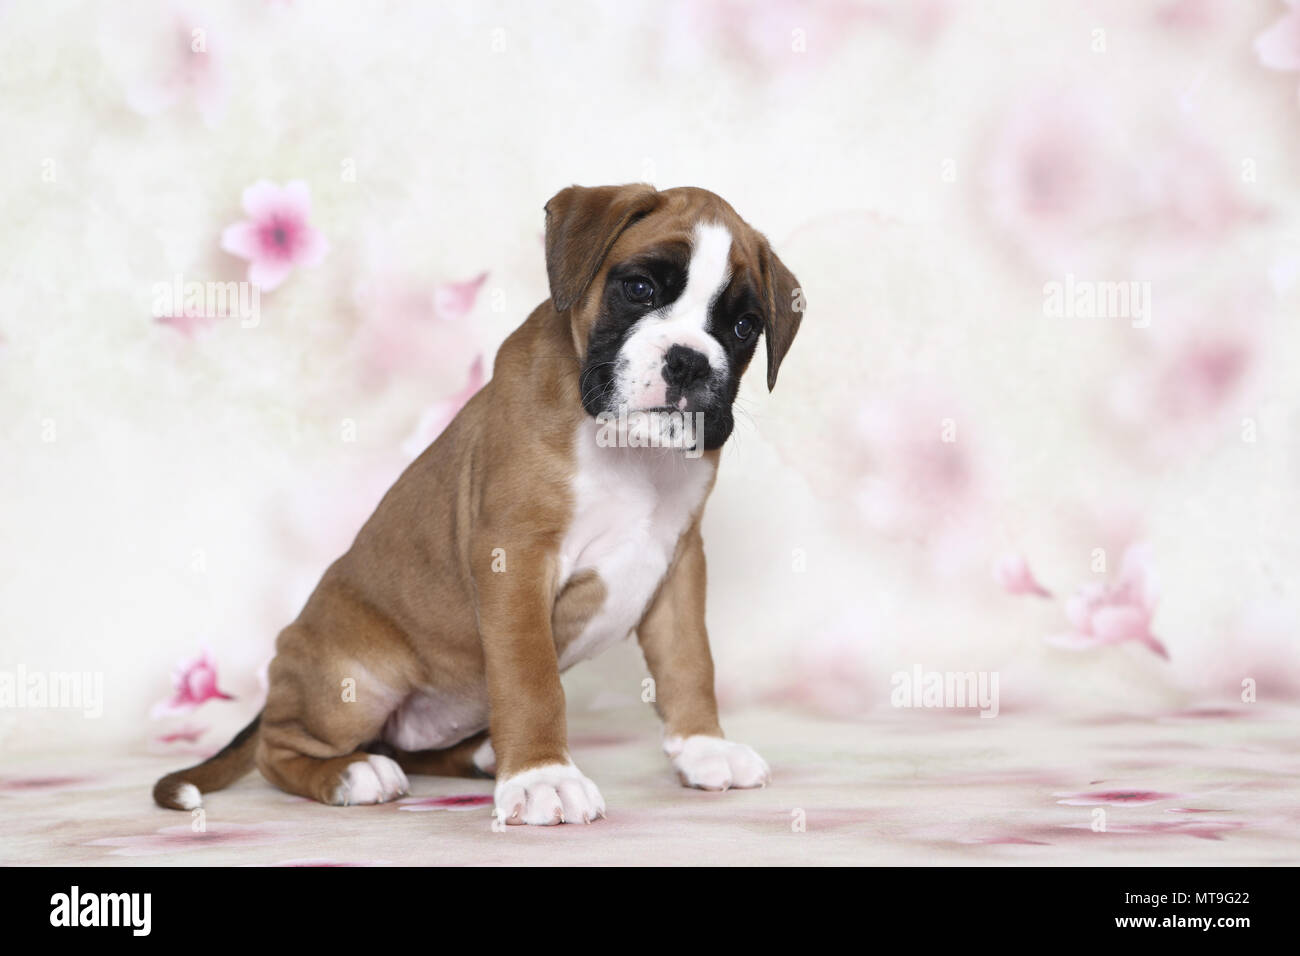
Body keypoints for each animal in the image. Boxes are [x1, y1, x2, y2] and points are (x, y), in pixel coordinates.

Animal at [152, 183, 800, 827]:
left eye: (745, 326)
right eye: (639, 289)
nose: (689, 361)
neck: (628, 454)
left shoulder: (677, 564)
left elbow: (690, 661)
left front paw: (704, 748)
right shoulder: (515, 558)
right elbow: (531, 677)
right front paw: (543, 775)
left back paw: (483, 755)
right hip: (356, 681)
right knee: (277, 750)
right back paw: (352, 773)